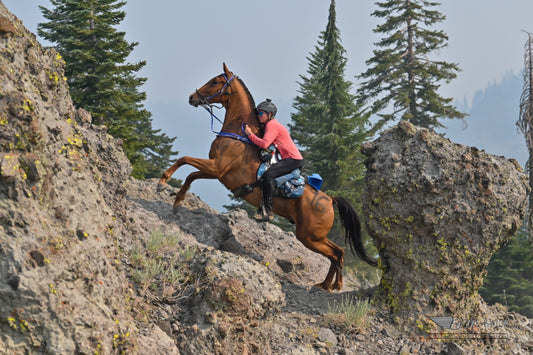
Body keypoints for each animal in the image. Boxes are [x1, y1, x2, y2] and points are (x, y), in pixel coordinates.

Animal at [156, 63, 376, 292]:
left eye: (215, 81)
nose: (192, 97)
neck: (238, 135)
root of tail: (330, 199)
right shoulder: (215, 171)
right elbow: (191, 174)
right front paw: (177, 201)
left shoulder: (216, 168)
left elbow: (185, 161)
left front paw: (163, 182)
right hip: (314, 236)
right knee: (336, 253)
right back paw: (325, 284)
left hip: (309, 236)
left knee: (336, 253)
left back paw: (336, 285)